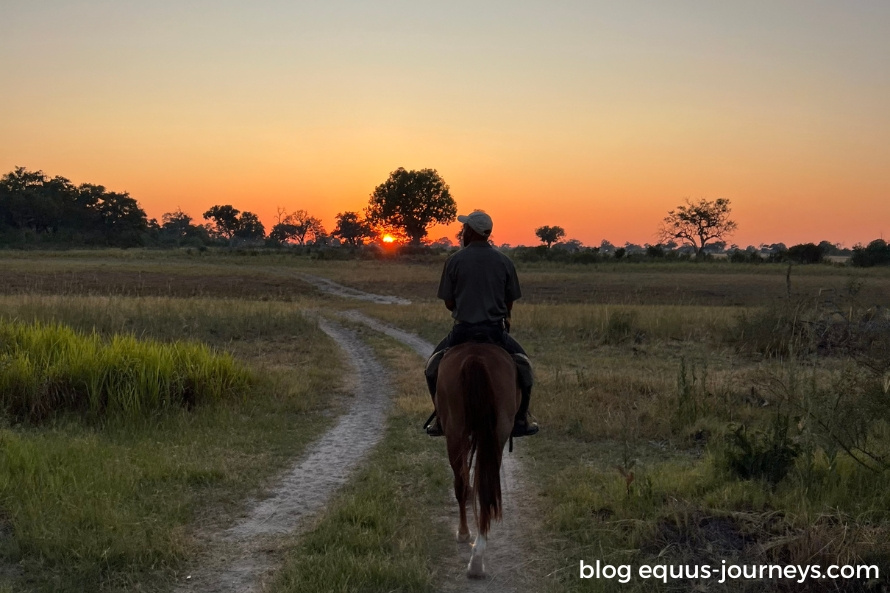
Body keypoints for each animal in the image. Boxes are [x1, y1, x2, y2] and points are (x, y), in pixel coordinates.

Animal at [432, 340, 516, 576]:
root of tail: (475, 357)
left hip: (455, 434)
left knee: (462, 485)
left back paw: (465, 537)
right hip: (495, 437)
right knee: (484, 489)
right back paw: (477, 558)